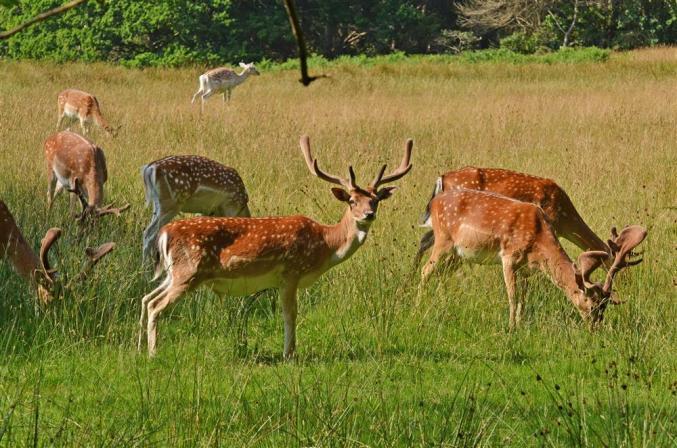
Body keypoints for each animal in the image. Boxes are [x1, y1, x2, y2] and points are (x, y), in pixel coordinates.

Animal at [137, 133, 412, 356]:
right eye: (352, 201)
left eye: (376, 200)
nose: (368, 215)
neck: (325, 243)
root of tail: (165, 233)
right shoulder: (290, 272)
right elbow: (290, 313)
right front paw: (289, 353)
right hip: (189, 271)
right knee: (156, 305)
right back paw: (153, 353)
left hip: (174, 273)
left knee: (147, 298)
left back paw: (140, 346)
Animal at [420, 187, 648, 328]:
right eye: (591, 305)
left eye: (605, 307)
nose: (596, 327)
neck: (538, 238)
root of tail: (433, 203)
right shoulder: (509, 257)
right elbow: (512, 296)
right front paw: (511, 328)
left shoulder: (526, 268)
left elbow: (523, 298)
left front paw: (520, 324)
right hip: (443, 241)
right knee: (425, 271)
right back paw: (417, 306)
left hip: (457, 254)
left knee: (440, 275)